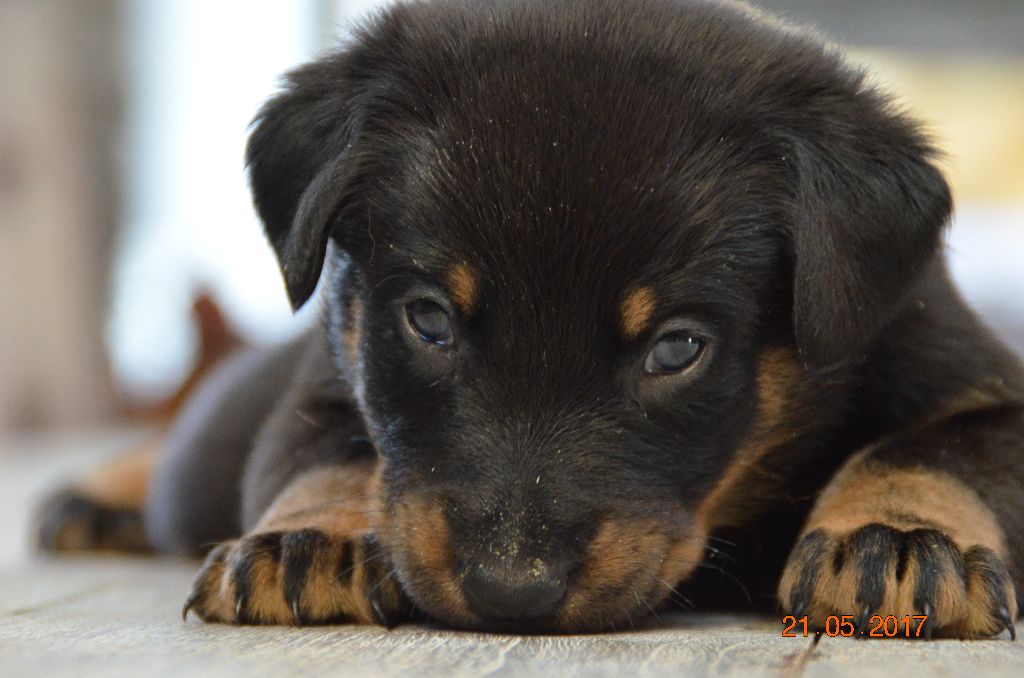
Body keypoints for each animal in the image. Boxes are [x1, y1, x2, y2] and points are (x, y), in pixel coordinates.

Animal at [37, 0, 1023, 637]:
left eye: (678, 348)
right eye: (429, 319)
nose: (510, 588)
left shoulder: (963, 366)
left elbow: (938, 446)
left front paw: (899, 535)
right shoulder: (322, 387)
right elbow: (334, 454)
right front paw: (311, 537)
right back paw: (92, 496)